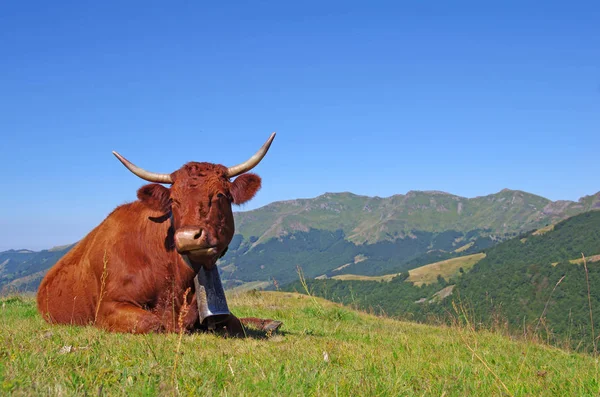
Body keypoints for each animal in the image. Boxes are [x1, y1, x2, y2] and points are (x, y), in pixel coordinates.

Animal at [36, 134, 280, 338]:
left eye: (220, 195)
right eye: (173, 200)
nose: (188, 236)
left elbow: (233, 321)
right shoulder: (107, 307)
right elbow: (153, 323)